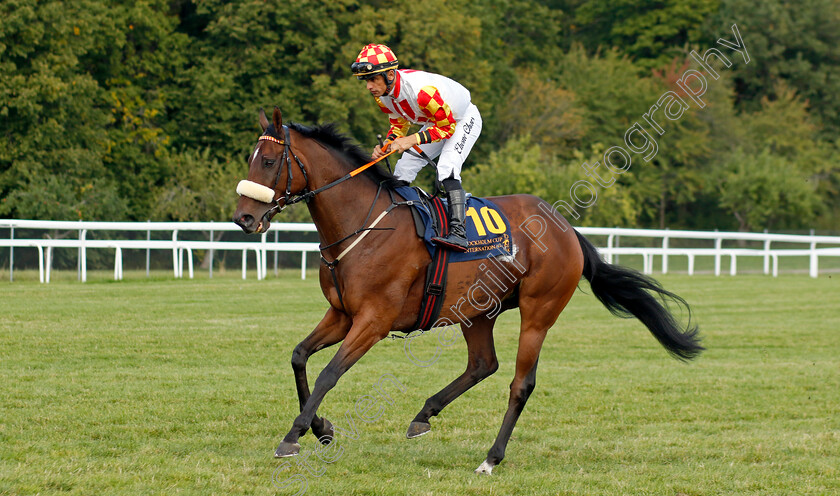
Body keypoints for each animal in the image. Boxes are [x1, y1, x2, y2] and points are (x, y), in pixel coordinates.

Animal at [231, 107, 704, 472]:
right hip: (477, 311)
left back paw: (491, 458)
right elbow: (299, 357)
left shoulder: (374, 320)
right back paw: (424, 415)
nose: (244, 218)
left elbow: (330, 372)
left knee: (520, 383)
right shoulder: (342, 313)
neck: (361, 226)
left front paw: (293, 437)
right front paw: (321, 429)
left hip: (539, 311)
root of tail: (566, 228)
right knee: (482, 364)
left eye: (269, 161)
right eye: (251, 158)